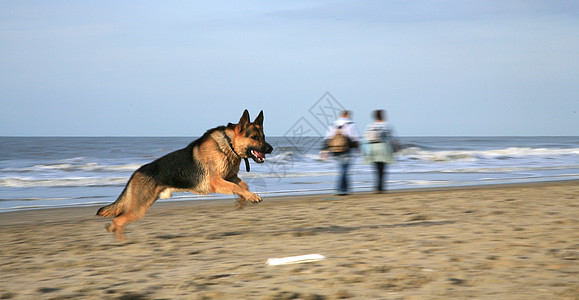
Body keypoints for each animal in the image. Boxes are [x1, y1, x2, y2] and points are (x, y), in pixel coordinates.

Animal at [97, 111, 274, 240]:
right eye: (254, 137)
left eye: (263, 137)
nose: (271, 149)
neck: (228, 144)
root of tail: (135, 172)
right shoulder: (217, 181)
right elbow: (237, 187)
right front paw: (252, 197)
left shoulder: (229, 177)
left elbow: (242, 185)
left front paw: (243, 199)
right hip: (138, 209)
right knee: (118, 219)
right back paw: (121, 242)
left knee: (117, 219)